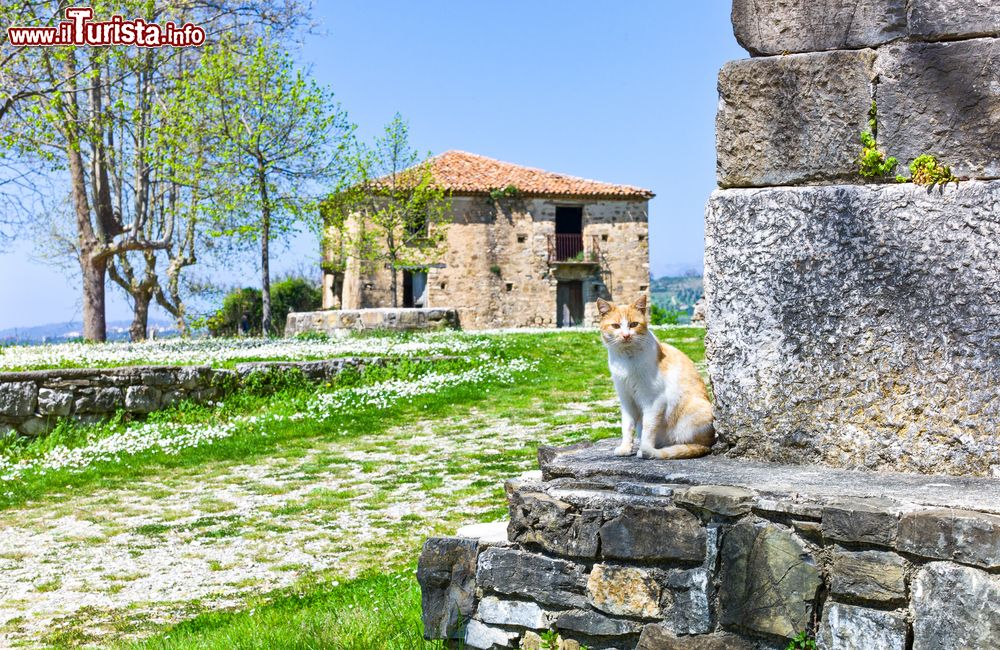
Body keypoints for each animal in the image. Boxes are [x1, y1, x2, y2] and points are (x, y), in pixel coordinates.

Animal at [596, 296, 716, 458]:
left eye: (633, 324)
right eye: (615, 326)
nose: (626, 335)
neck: (627, 359)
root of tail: (709, 443)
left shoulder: (654, 401)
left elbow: (648, 429)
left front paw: (644, 450)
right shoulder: (627, 400)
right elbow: (626, 426)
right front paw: (625, 448)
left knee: (689, 444)